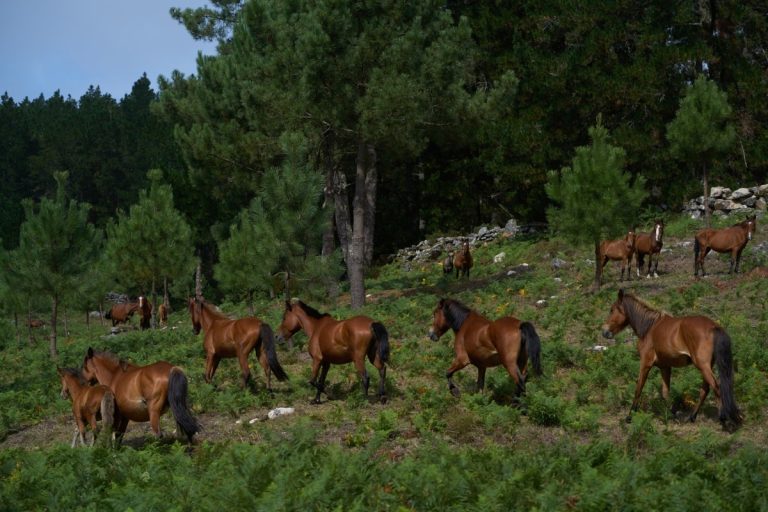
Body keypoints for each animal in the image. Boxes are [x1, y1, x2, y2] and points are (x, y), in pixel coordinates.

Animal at [601, 289, 741, 429]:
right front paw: (670, 416)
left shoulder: (645, 363)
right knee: (705, 390)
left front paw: (630, 416)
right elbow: (665, 393)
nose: (604, 332)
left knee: (716, 388)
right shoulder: (665, 367)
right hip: (707, 366)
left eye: (612, 310)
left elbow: (638, 388)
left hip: (703, 365)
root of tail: (713, 326)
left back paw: (723, 419)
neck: (649, 327)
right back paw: (692, 417)